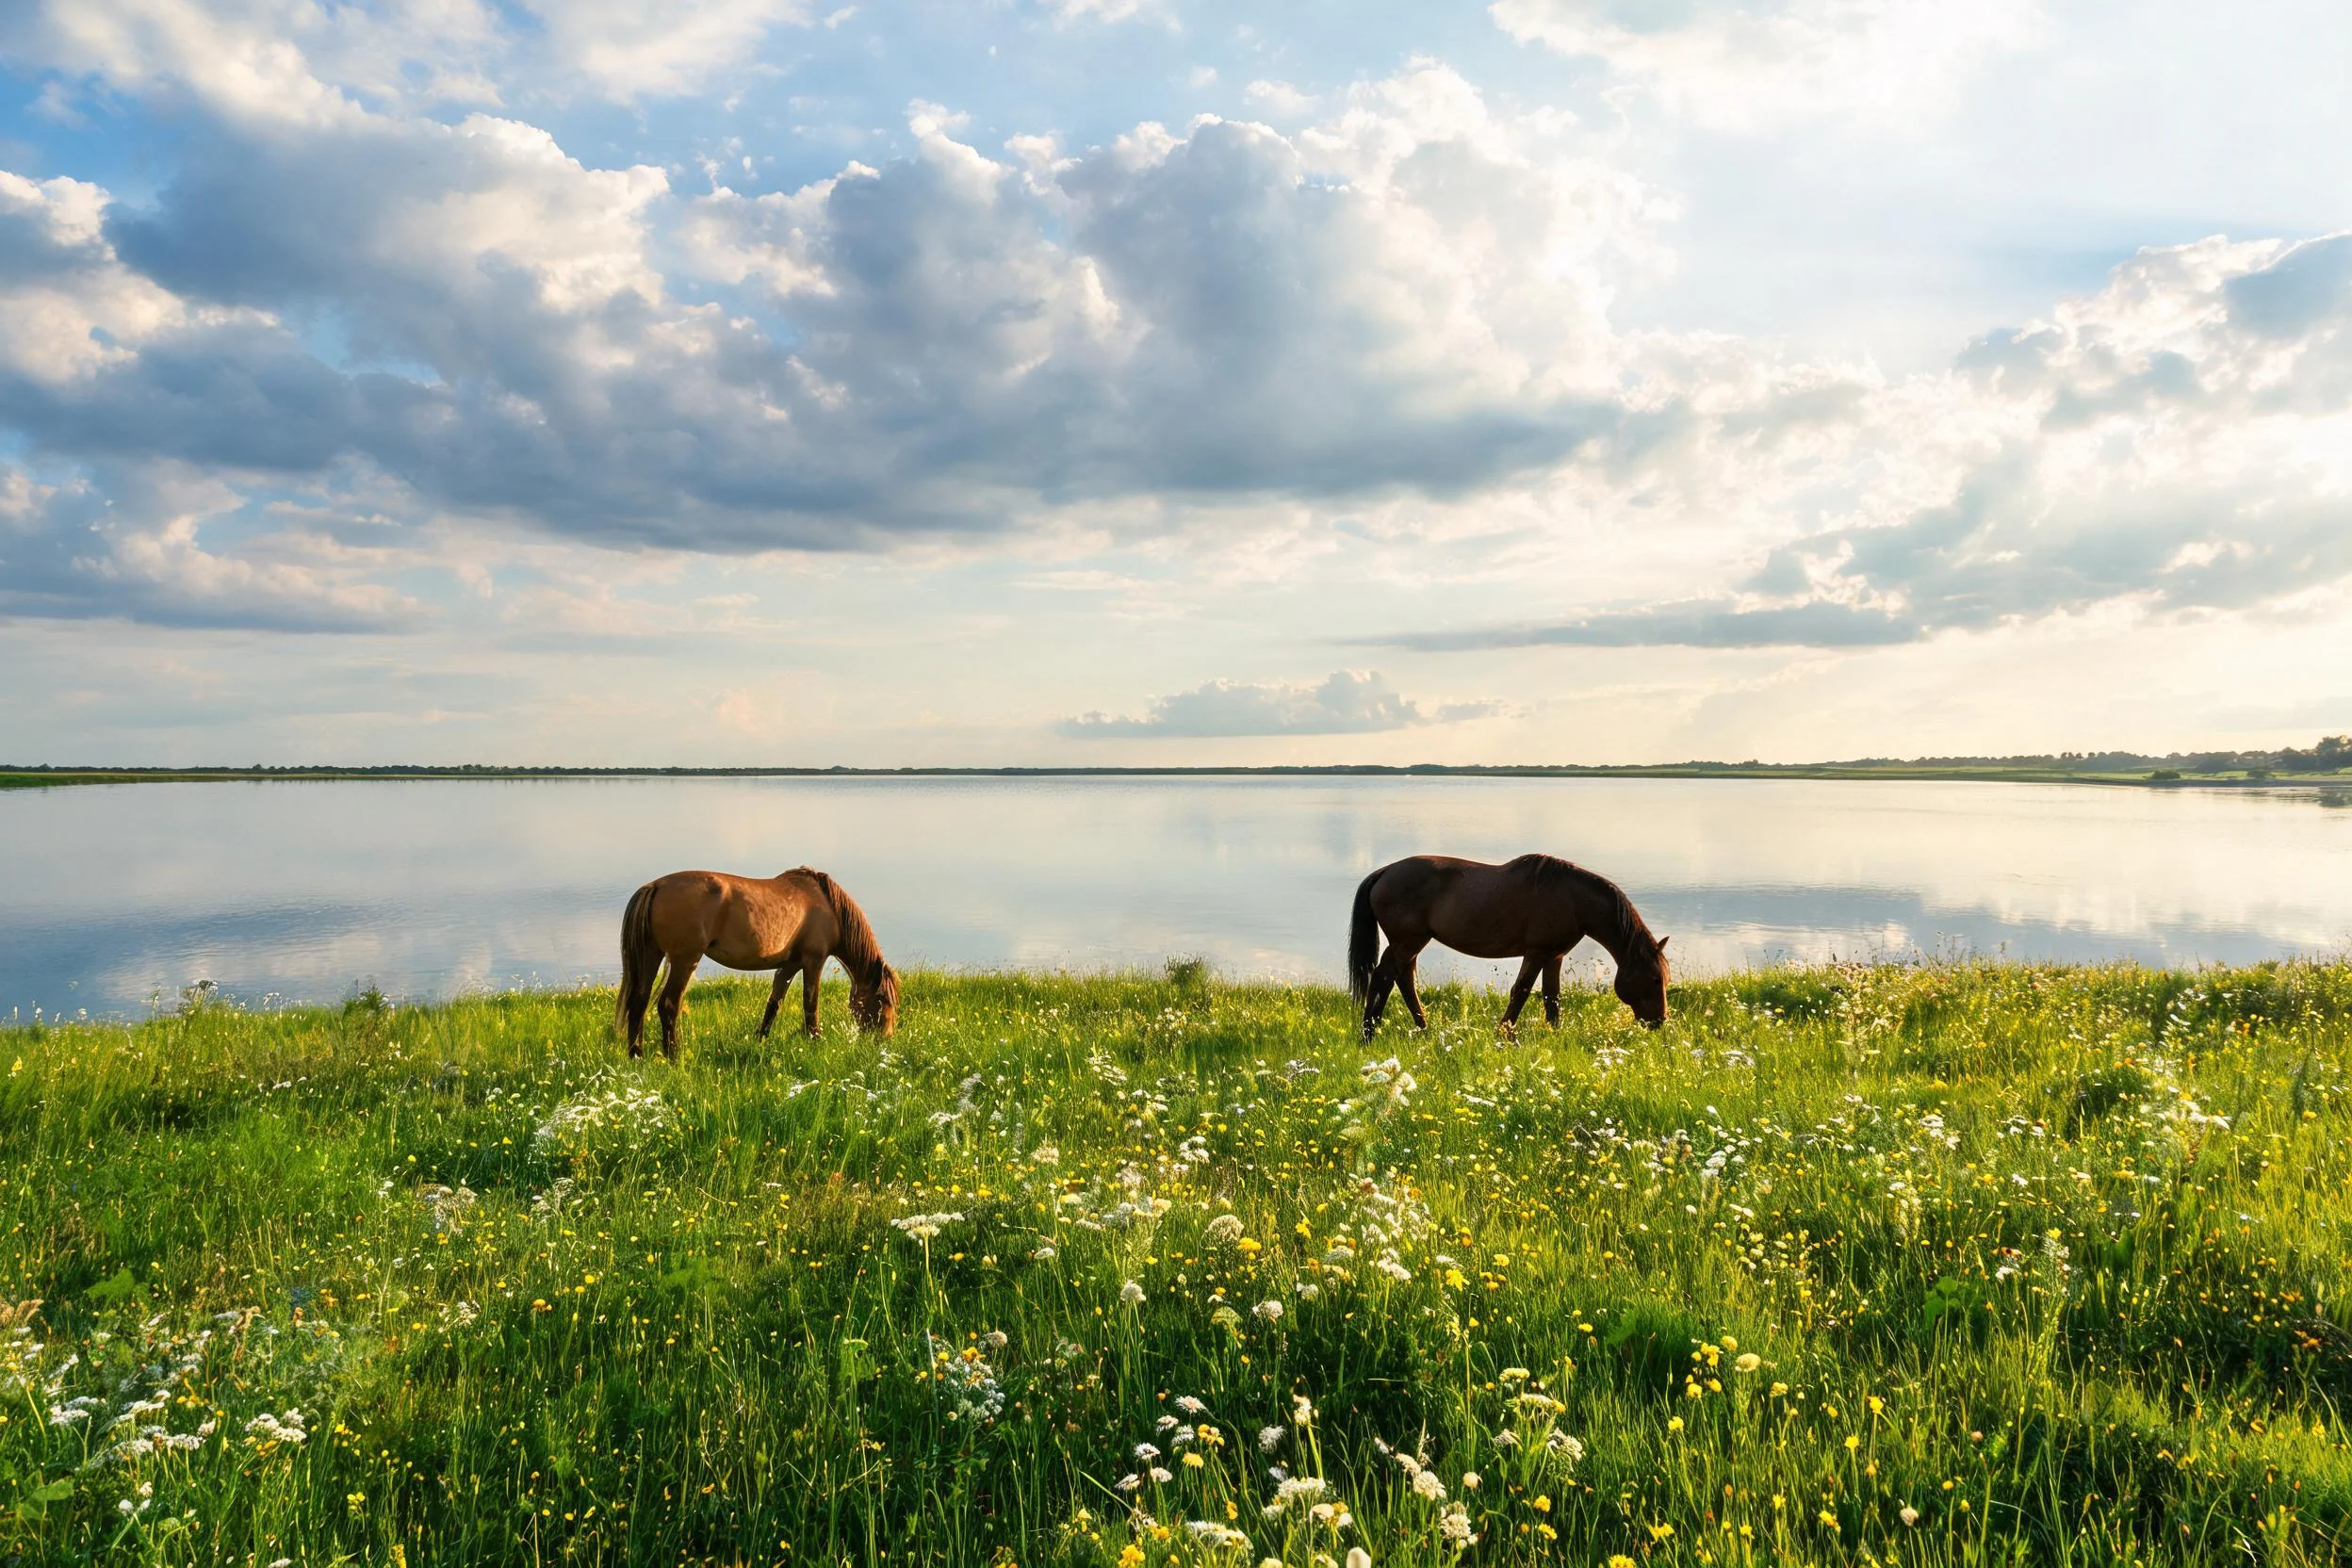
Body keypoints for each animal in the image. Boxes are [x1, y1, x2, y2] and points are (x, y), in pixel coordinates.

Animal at [616, 866, 899, 1059]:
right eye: (882, 1000)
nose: (885, 1039)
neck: (828, 905)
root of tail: (655, 886)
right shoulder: (813, 960)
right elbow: (811, 1003)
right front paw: (814, 1040)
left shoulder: (789, 965)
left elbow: (774, 1003)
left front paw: (760, 1039)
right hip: (684, 960)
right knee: (668, 1004)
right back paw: (673, 1057)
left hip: (651, 955)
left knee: (639, 1002)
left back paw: (636, 1055)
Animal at [1348, 853, 1669, 1038]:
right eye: (1655, 979)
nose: (1659, 1021)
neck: (1573, 899)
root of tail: (1385, 872)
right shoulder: (1537, 952)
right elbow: (1522, 991)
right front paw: (1504, 1033)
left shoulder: (1554, 955)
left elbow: (1552, 997)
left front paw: (1555, 1035)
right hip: (1407, 942)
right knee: (1384, 977)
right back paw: (1369, 1033)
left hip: (1410, 943)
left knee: (1402, 979)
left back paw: (1422, 1028)